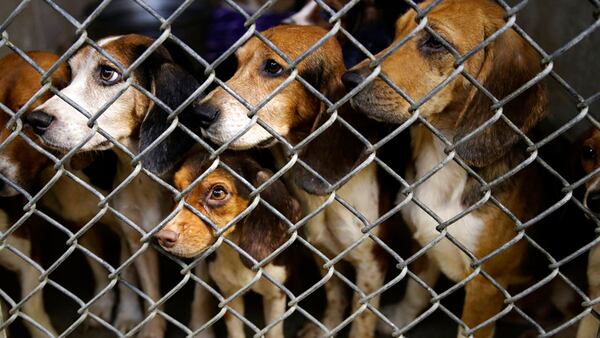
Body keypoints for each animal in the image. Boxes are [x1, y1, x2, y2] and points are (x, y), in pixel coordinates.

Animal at [25, 35, 202, 338]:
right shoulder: (136, 238)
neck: (147, 179)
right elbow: (151, 299)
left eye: (107, 73)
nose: (35, 120)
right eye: (70, 74)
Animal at [155, 151, 300, 338]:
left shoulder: (276, 294)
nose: (163, 237)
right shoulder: (229, 295)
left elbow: (274, 332)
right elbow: (235, 330)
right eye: (175, 189)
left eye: (217, 192)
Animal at [346, 0, 548, 338]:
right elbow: (416, 292)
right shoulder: (424, 245)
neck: (442, 157)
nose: (348, 81)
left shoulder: (486, 286)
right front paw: (400, 320)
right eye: (396, 30)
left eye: (435, 42)